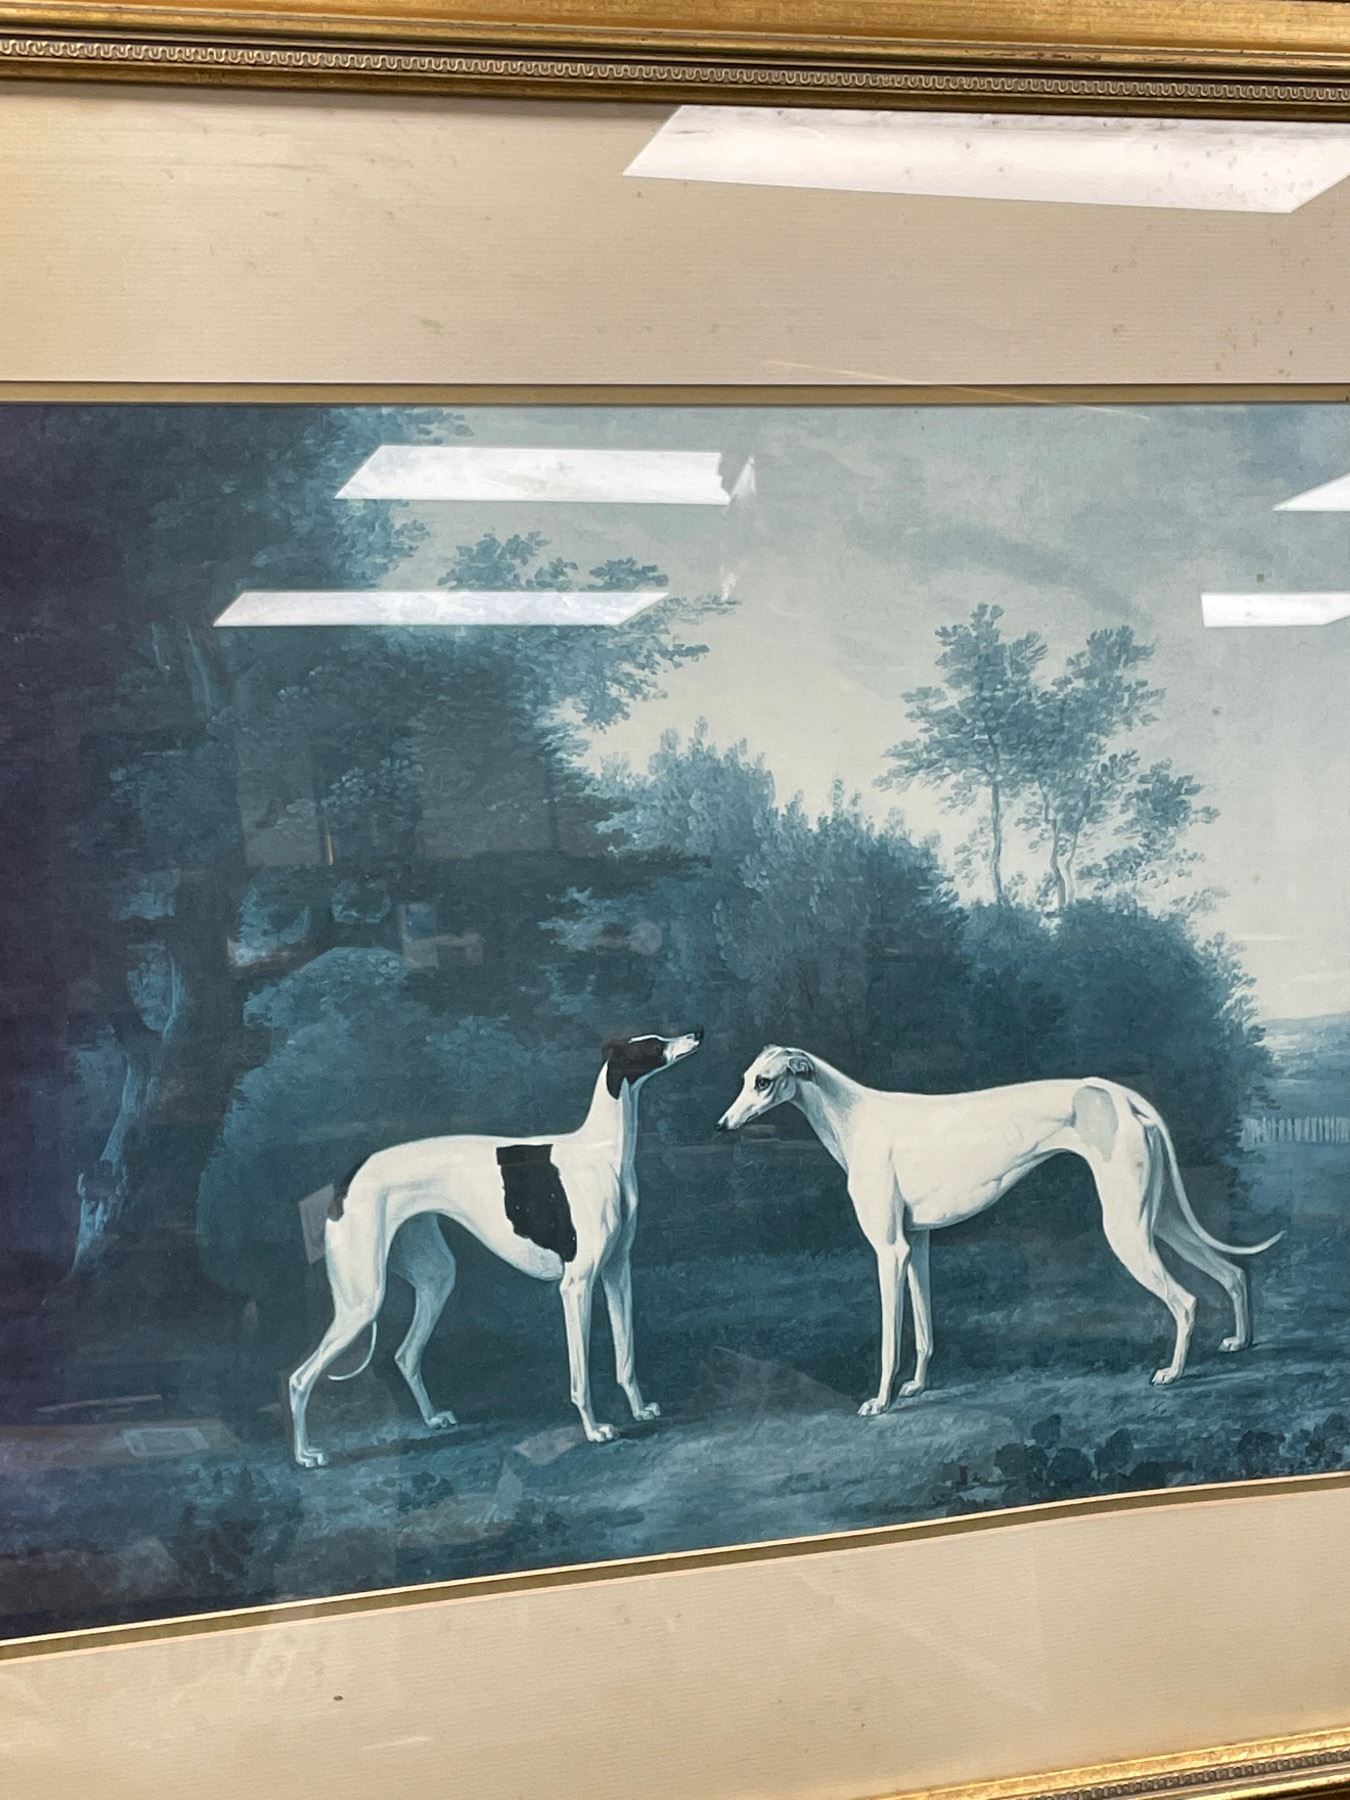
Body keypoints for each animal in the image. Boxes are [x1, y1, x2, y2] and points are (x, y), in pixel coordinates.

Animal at [288, 1029, 703, 1467]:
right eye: (655, 1045)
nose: (697, 1034)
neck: (602, 1152)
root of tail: (348, 1178)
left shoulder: (617, 1273)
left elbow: (626, 1358)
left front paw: (639, 1409)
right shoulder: (575, 1286)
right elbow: (580, 1375)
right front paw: (594, 1429)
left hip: (435, 1279)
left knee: (405, 1354)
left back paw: (433, 1418)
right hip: (362, 1301)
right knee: (299, 1379)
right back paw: (306, 1455)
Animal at [717, 1046, 1280, 1413]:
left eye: (763, 1082)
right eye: (744, 1077)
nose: (723, 1125)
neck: (855, 1119)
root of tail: (1123, 1097)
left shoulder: (888, 1250)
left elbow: (889, 1340)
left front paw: (880, 1400)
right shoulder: (916, 1244)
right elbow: (923, 1328)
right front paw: (917, 1386)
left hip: (1126, 1226)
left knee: (1185, 1300)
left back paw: (1174, 1372)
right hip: (1158, 1218)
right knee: (1232, 1273)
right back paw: (1241, 1341)